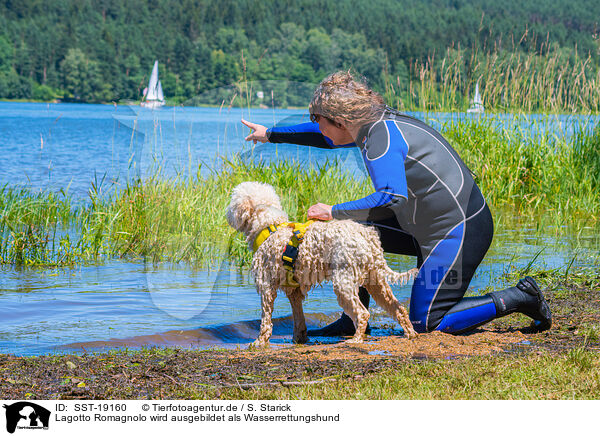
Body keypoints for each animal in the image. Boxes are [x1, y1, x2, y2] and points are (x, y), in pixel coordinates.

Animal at [227, 181, 420, 348]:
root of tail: (368, 236)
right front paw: (299, 339)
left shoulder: (267, 287)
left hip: (344, 282)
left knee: (363, 313)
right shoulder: (294, 291)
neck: (270, 228)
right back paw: (411, 333)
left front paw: (259, 342)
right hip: (375, 281)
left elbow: (266, 320)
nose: (227, 212)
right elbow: (298, 318)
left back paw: (356, 339)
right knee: (398, 308)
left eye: (234, 199)